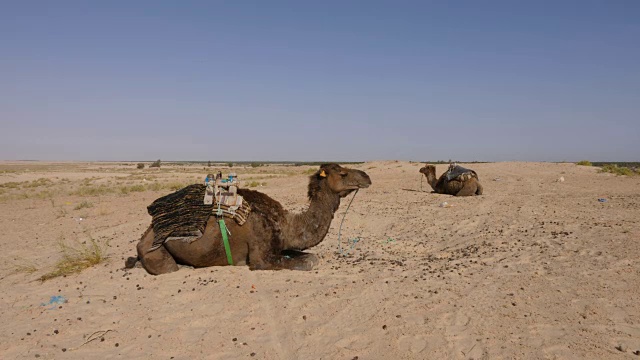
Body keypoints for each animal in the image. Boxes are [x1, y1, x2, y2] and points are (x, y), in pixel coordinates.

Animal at [125, 164, 372, 276]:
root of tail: (144, 237)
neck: (285, 225)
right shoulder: (260, 257)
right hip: (155, 251)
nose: (367, 176)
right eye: (342, 173)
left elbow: (309, 256)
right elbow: (309, 262)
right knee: (169, 267)